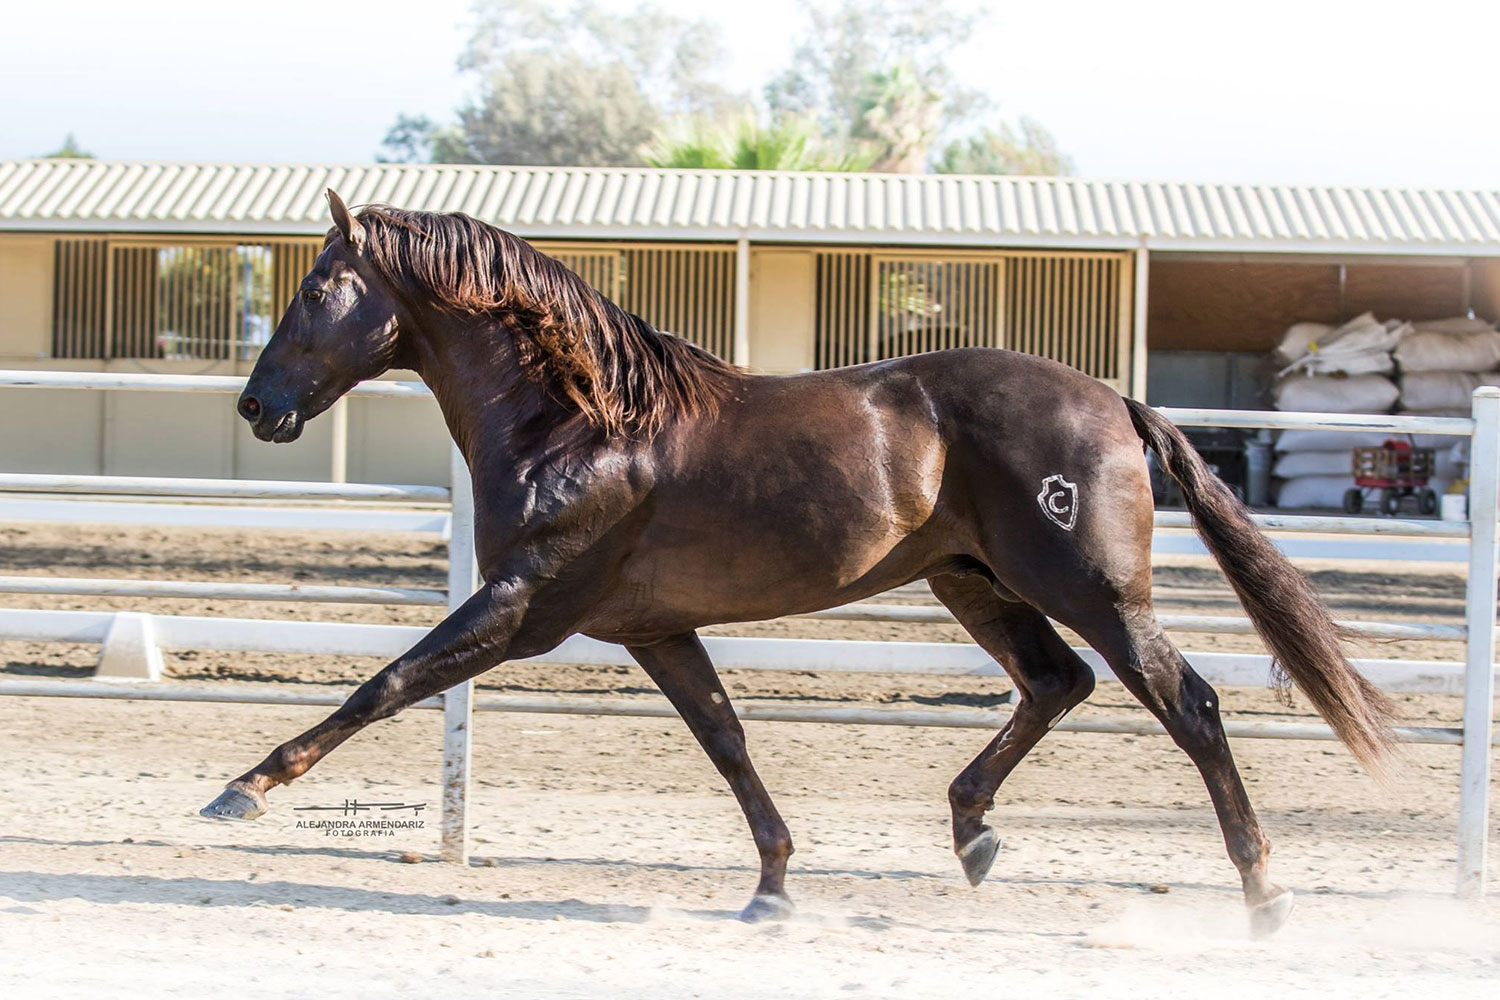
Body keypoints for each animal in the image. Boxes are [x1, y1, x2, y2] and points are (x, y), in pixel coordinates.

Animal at [202, 189, 1397, 934]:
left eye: (316, 288)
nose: (256, 407)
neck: (579, 422)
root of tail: (1115, 400)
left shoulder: (524, 606)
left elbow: (384, 682)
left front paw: (241, 791)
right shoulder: (653, 629)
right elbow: (728, 741)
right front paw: (773, 886)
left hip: (1090, 589)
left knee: (1185, 701)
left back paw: (1264, 897)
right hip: (973, 581)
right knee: (1057, 682)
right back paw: (974, 837)